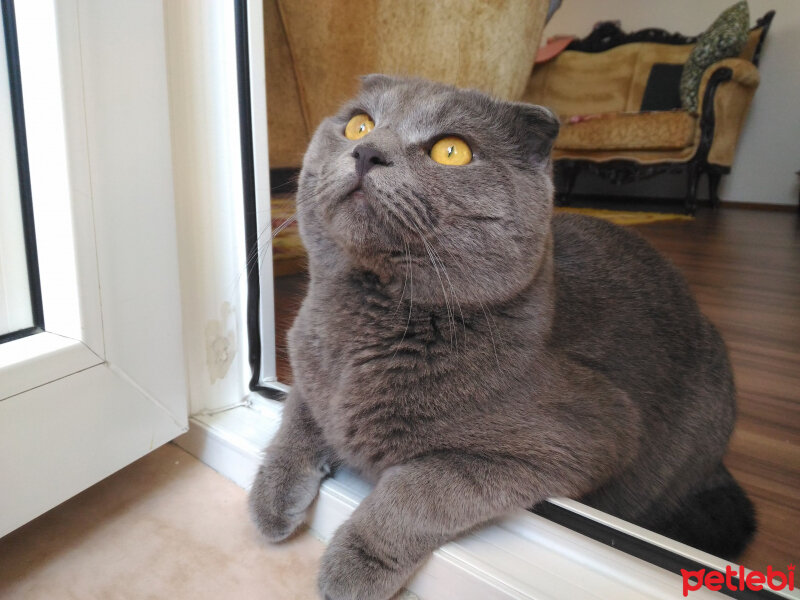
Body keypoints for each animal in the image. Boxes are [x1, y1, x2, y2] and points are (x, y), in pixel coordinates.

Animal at [247, 75, 752, 600]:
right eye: (358, 124)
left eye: (451, 151)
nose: (367, 151)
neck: (360, 327)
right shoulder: (311, 365)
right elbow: (300, 413)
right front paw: (271, 497)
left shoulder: (584, 436)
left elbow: (421, 489)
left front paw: (352, 566)